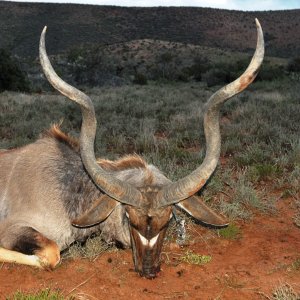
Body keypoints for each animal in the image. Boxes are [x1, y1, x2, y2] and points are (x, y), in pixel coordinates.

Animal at [0, 19, 262, 278]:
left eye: (167, 221)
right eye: (128, 216)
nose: (148, 270)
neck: (70, 188)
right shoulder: (13, 229)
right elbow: (52, 254)